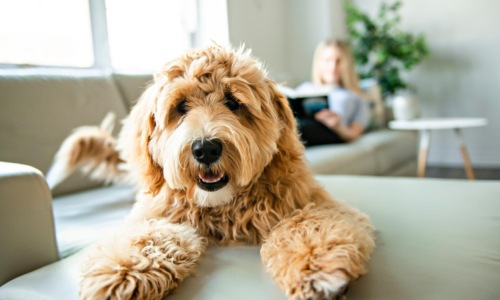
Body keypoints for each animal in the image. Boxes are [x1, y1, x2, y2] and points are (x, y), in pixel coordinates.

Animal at [47, 45, 376, 300]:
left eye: (233, 102)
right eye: (181, 106)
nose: (205, 149)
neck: (223, 207)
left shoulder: (312, 202)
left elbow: (308, 224)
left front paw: (318, 267)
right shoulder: (156, 214)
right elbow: (147, 236)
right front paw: (122, 272)